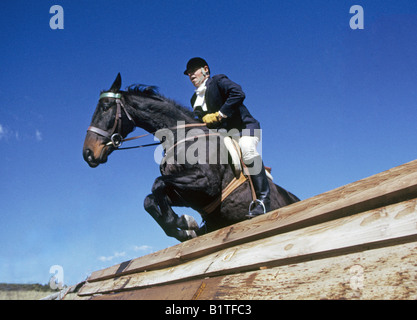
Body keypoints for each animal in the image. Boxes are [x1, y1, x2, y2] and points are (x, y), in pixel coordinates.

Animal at [82, 74, 300, 241]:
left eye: (105, 107)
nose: (87, 154)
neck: (180, 136)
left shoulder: (206, 183)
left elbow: (158, 184)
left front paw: (182, 222)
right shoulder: (188, 195)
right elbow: (149, 200)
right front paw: (186, 228)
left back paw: (259, 207)